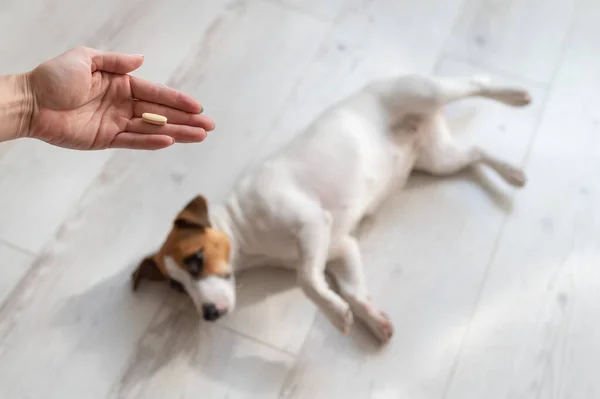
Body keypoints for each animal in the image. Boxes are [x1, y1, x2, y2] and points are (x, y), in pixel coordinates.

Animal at [132, 74, 528, 344]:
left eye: (196, 259)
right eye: (177, 288)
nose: (209, 315)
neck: (245, 230)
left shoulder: (311, 223)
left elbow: (307, 280)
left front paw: (336, 315)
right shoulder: (339, 247)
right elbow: (352, 289)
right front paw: (370, 318)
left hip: (426, 92)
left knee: (476, 83)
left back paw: (516, 95)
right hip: (438, 160)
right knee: (475, 153)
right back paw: (513, 172)